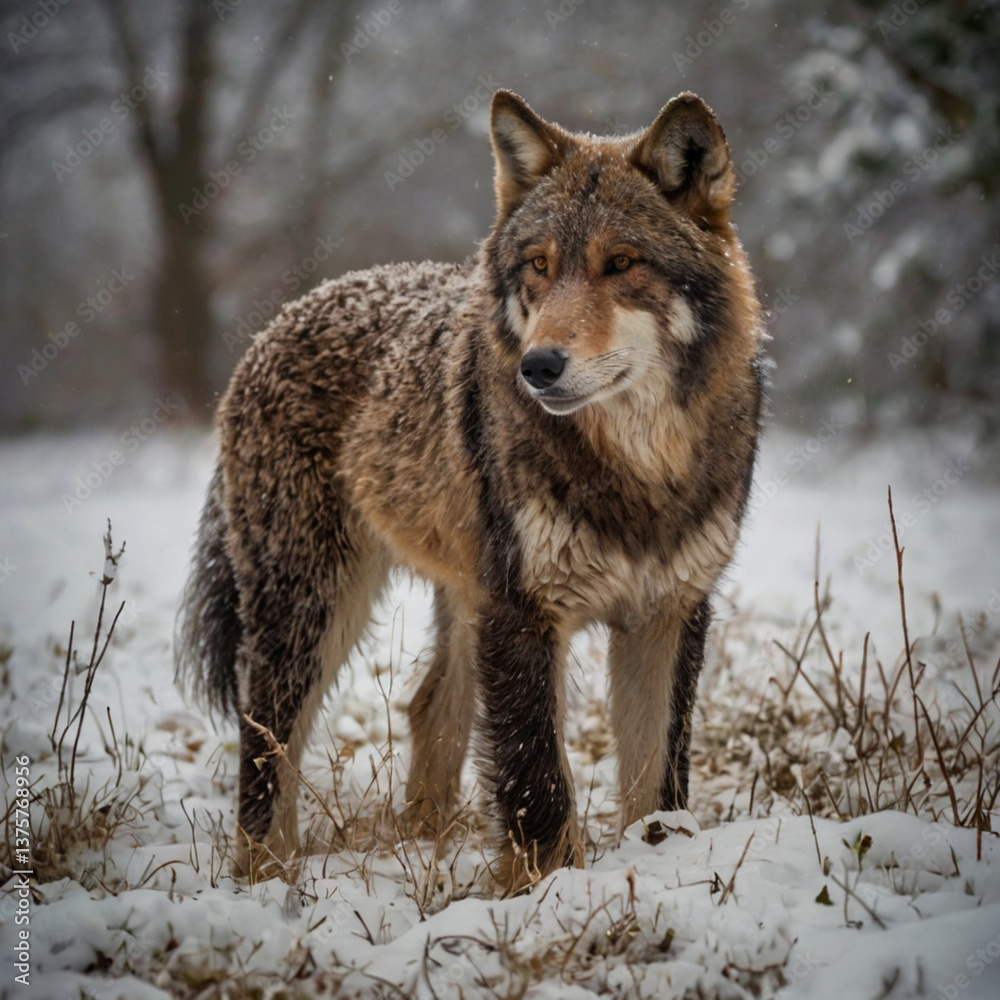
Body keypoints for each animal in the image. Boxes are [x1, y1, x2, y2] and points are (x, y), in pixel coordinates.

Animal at [176, 89, 765, 894]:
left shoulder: (668, 614)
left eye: (621, 264)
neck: (638, 469)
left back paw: (425, 838)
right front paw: (542, 895)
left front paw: (659, 864)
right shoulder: (523, 615)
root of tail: (278, 324)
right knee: (266, 740)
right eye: (540, 267)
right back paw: (270, 877)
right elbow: (538, 782)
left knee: (426, 706)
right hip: (314, 613)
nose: (539, 367)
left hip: (458, 599)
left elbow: (657, 783)